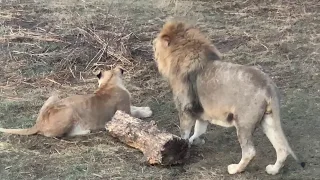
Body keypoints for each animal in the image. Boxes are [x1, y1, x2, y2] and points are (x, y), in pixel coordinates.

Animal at [0, 67, 152, 137]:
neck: (109, 83)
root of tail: (38, 123)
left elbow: (136, 107)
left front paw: (146, 109)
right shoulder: (124, 111)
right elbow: (135, 112)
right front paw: (146, 112)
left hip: (55, 95)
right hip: (69, 111)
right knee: (58, 135)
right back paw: (85, 131)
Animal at [152, 20, 304, 174]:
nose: (153, 48)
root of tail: (269, 86)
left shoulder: (185, 108)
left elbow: (185, 132)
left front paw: (182, 146)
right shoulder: (201, 111)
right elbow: (199, 129)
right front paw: (195, 141)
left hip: (243, 122)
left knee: (249, 151)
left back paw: (235, 169)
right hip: (268, 119)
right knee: (282, 148)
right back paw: (273, 170)